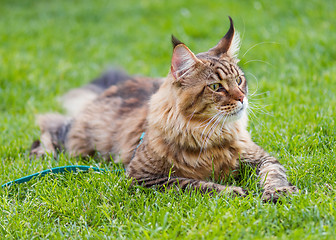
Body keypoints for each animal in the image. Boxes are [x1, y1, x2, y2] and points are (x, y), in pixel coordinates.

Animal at [30, 16, 296, 202]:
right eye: (216, 87)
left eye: (239, 80)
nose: (242, 98)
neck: (209, 134)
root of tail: (119, 85)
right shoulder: (144, 178)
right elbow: (194, 184)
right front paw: (232, 191)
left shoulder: (260, 157)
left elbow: (274, 173)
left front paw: (279, 192)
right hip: (81, 143)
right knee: (50, 125)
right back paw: (41, 155)